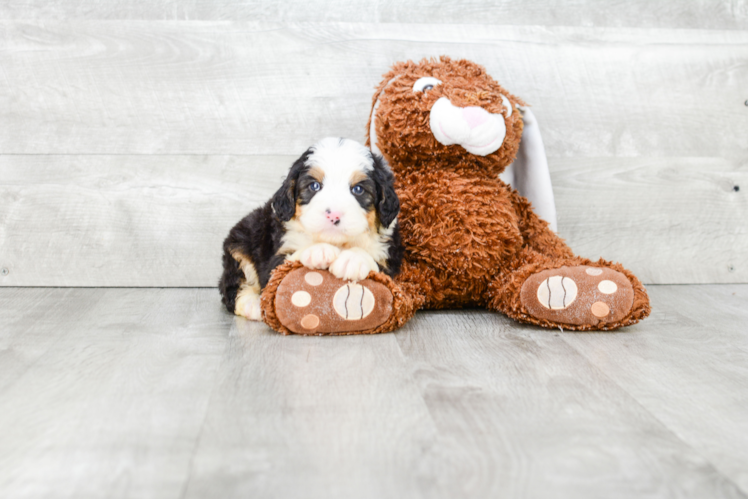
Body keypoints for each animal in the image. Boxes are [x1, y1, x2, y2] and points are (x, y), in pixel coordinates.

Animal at [218, 135, 404, 318]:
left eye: (358, 189)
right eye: (314, 186)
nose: (333, 214)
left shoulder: (389, 256)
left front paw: (353, 259)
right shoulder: (276, 257)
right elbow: (288, 260)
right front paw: (318, 250)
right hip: (240, 242)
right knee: (233, 288)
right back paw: (254, 305)